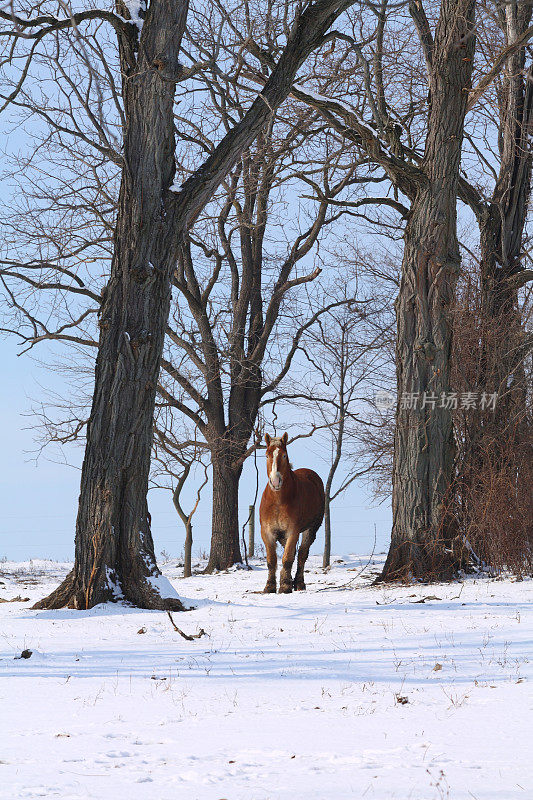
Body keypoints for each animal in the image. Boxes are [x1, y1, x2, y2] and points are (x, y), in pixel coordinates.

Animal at [258, 432, 324, 592]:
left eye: (284, 455)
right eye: (267, 455)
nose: (275, 481)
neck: (278, 501)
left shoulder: (293, 531)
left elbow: (287, 558)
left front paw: (285, 586)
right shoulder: (267, 532)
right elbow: (272, 560)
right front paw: (269, 586)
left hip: (311, 529)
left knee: (301, 555)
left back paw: (299, 583)